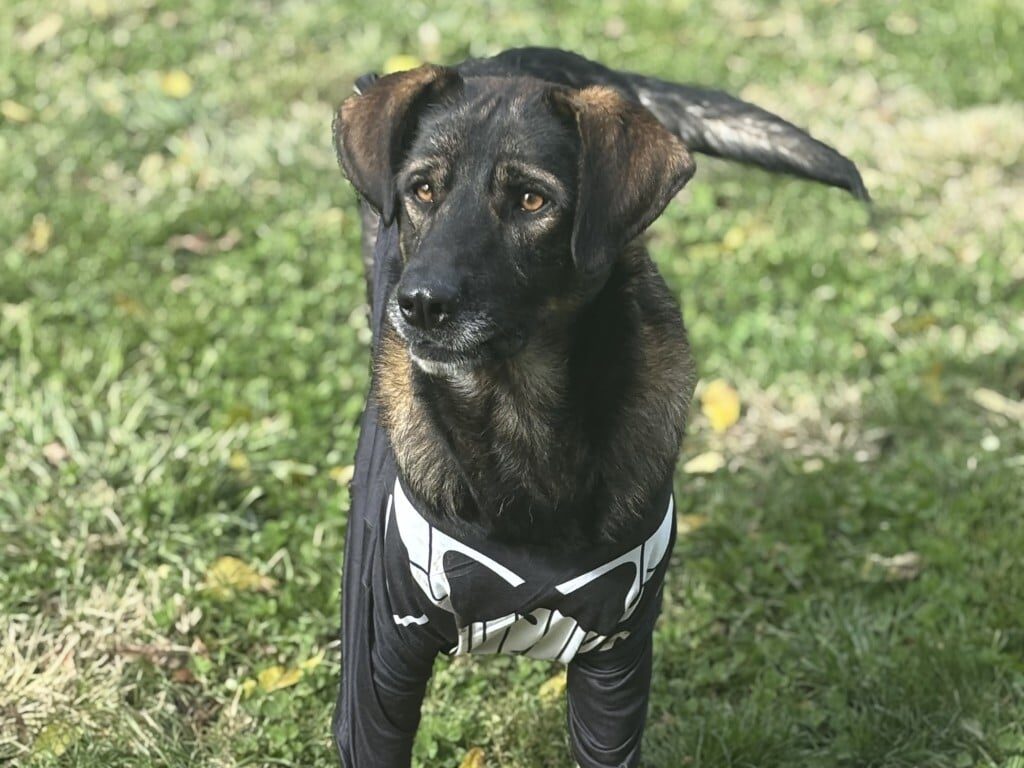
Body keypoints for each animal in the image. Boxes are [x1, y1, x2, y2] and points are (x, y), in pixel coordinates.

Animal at [330, 47, 866, 768]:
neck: (521, 426)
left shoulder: (618, 664)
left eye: (532, 200)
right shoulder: (379, 662)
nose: (420, 305)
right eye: (422, 190)